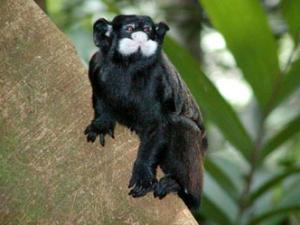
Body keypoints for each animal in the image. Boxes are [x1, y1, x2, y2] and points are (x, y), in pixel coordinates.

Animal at [83, 14, 207, 210]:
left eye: (148, 29)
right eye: (130, 28)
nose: (141, 35)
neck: (128, 68)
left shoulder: (159, 79)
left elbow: (159, 126)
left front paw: (143, 171)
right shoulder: (96, 65)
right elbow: (100, 99)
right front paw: (102, 123)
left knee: (181, 125)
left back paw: (181, 189)